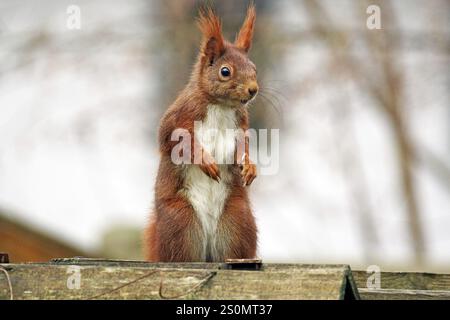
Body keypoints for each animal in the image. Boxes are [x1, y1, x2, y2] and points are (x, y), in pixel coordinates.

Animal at [144, 5, 256, 262]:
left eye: (254, 68)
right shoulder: (180, 115)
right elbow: (173, 141)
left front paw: (250, 166)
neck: (221, 105)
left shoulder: (240, 125)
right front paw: (204, 161)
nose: (253, 90)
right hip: (181, 222)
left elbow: (242, 147)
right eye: (225, 71)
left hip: (236, 220)